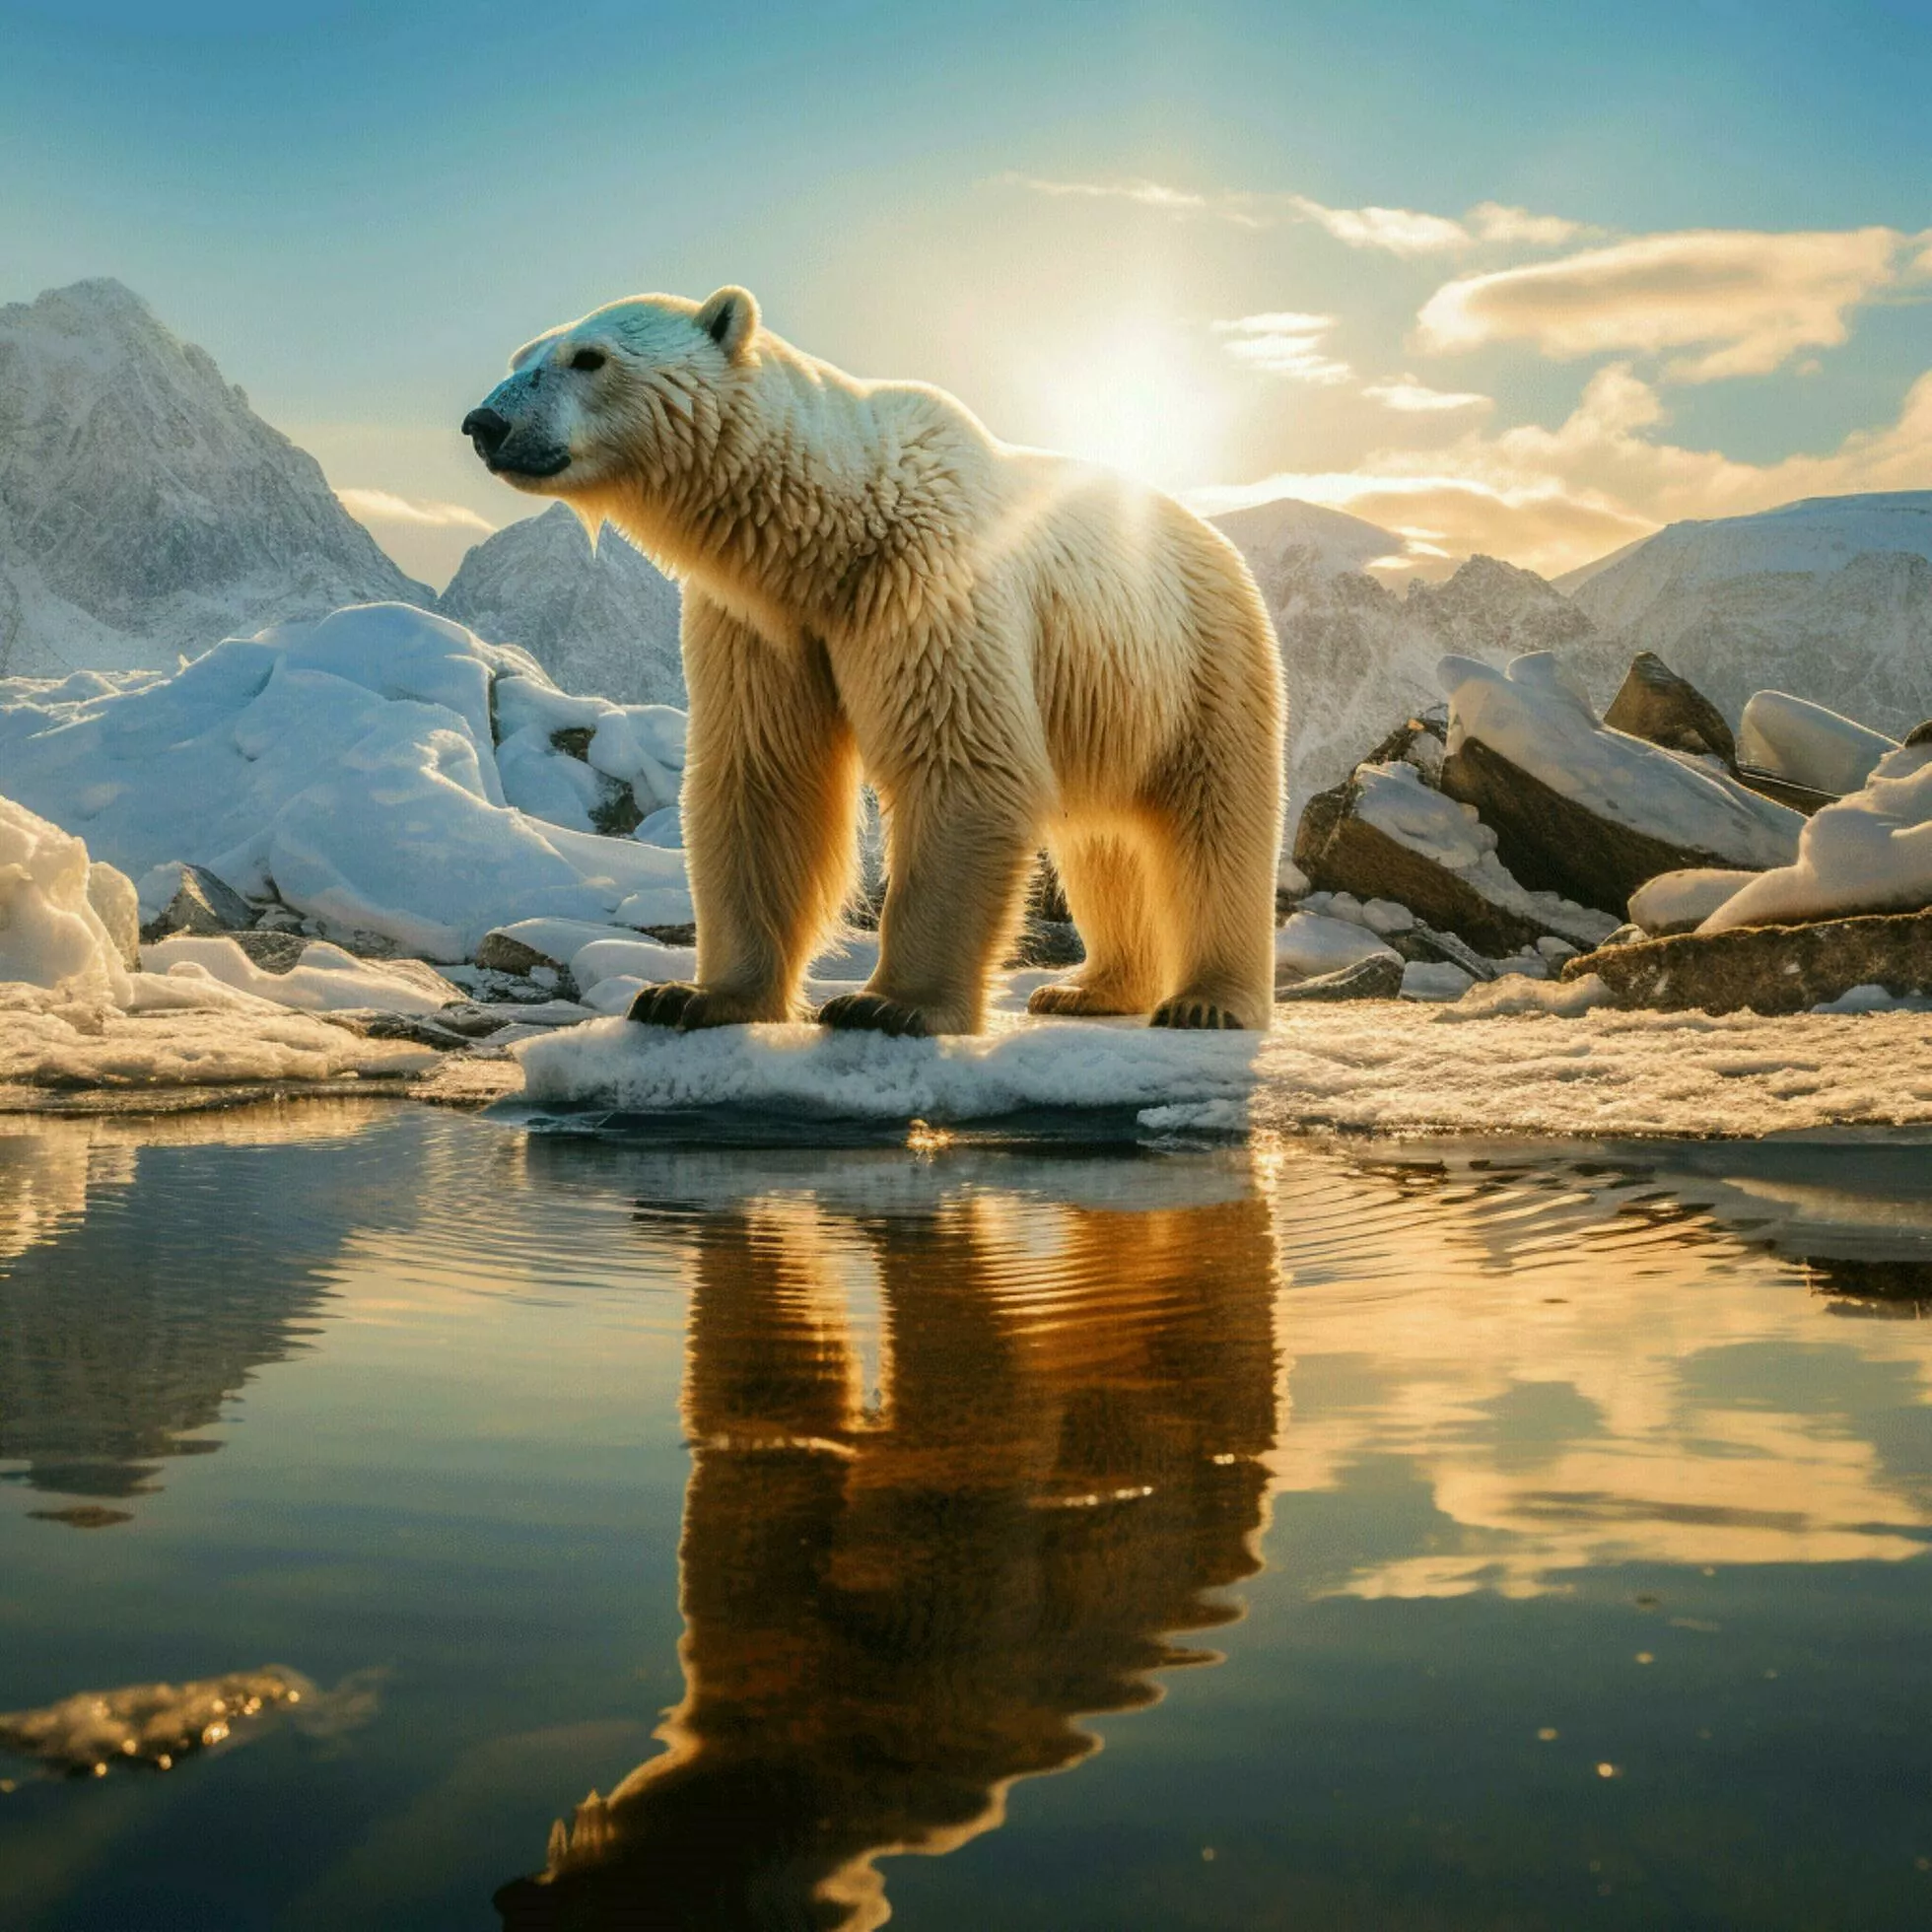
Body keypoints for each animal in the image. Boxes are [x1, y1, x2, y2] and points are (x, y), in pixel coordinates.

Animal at [463, 286, 1284, 1036]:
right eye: (522, 358)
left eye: (588, 357)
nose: (484, 424)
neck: (836, 529)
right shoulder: (760, 623)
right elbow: (763, 776)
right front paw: (691, 996)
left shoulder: (927, 581)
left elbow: (957, 760)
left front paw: (888, 1004)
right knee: (1102, 841)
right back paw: (1090, 988)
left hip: (1205, 657)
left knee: (1216, 824)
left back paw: (1206, 1002)